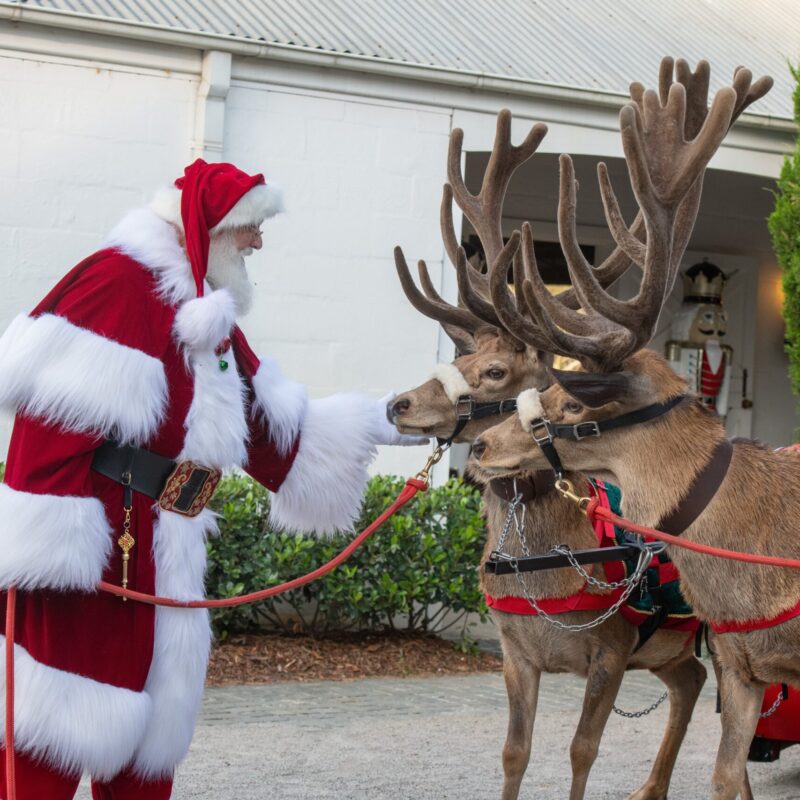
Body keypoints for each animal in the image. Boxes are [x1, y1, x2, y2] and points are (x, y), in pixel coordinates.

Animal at [388, 59, 768, 800]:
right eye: (461, 358)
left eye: (496, 371)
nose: (397, 404)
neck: (541, 568)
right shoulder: (515, 653)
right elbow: (514, 752)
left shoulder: (612, 649)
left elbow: (581, 750)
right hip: (680, 648)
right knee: (691, 680)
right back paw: (652, 787)